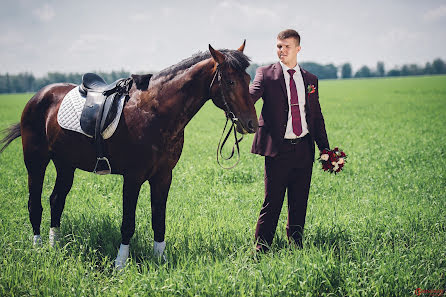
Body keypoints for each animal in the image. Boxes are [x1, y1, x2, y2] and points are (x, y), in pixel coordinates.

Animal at [0, 41, 258, 268]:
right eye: (231, 81)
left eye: (248, 80)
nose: (251, 124)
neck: (154, 111)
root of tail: (38, 96)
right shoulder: (133, 178)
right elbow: (128, 223)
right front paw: (120, 264)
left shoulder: (163, 176)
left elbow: (159, 220)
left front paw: (160, 260)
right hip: (35, 162)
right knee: (35, 204)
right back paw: (38, 248)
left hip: (65, 165)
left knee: (56, 200)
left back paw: (56, 246)